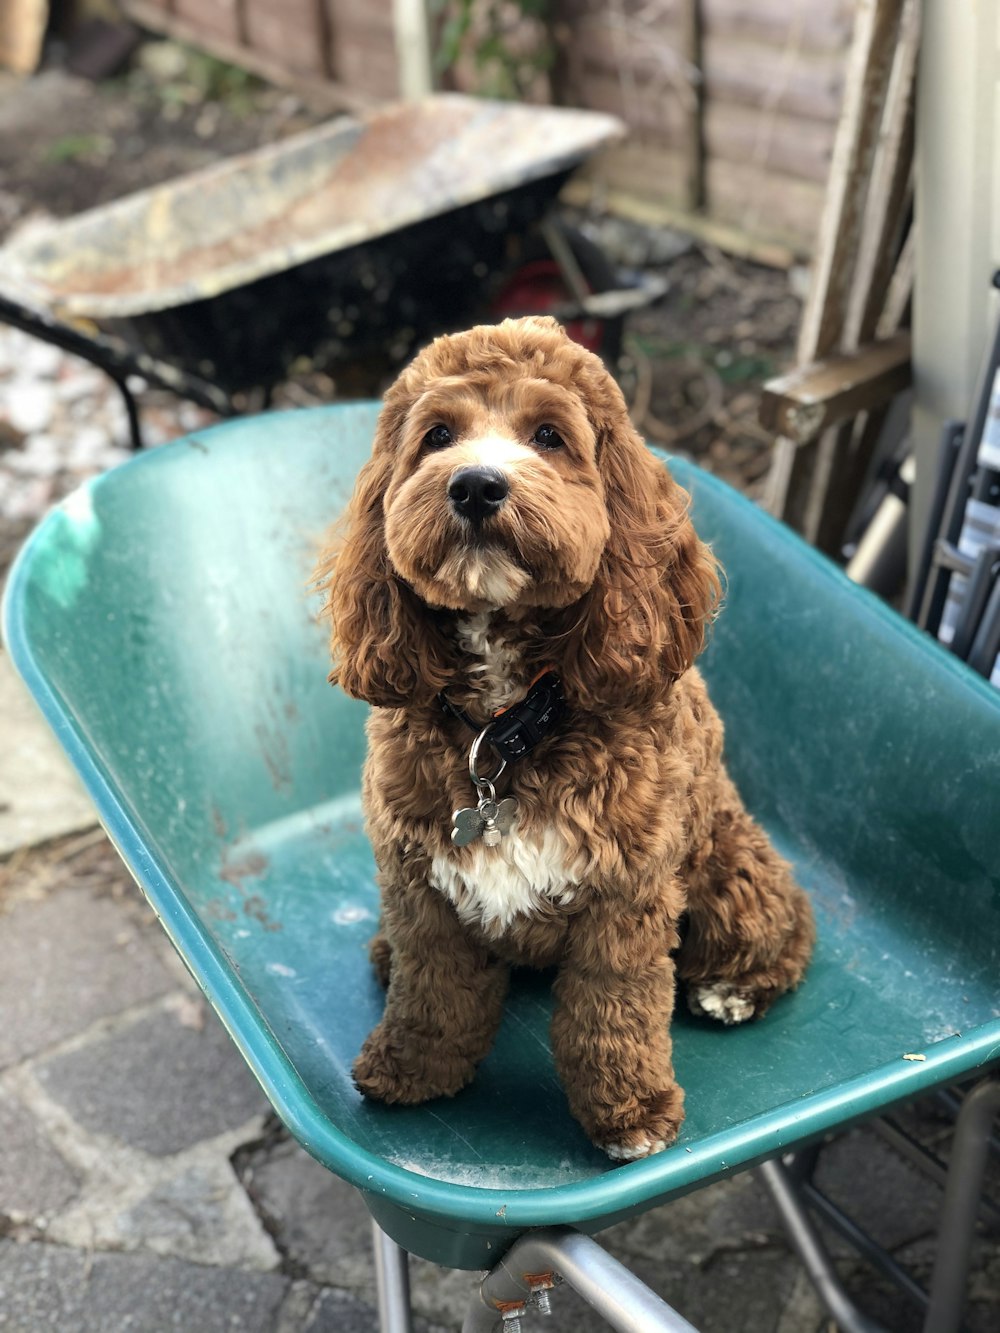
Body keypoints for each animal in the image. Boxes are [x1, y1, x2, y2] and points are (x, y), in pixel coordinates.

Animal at [317, 317, 816, 1162]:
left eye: (549, 435)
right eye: (438, 435)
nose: (475, 485)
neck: (505, 728)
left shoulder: (626, 900)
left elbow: (611, 1015)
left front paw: (629, 1111)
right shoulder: (421, 886)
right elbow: (433, 991)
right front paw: (413, 1066)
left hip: (726, 872)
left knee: (783, 926)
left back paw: (732, 989)